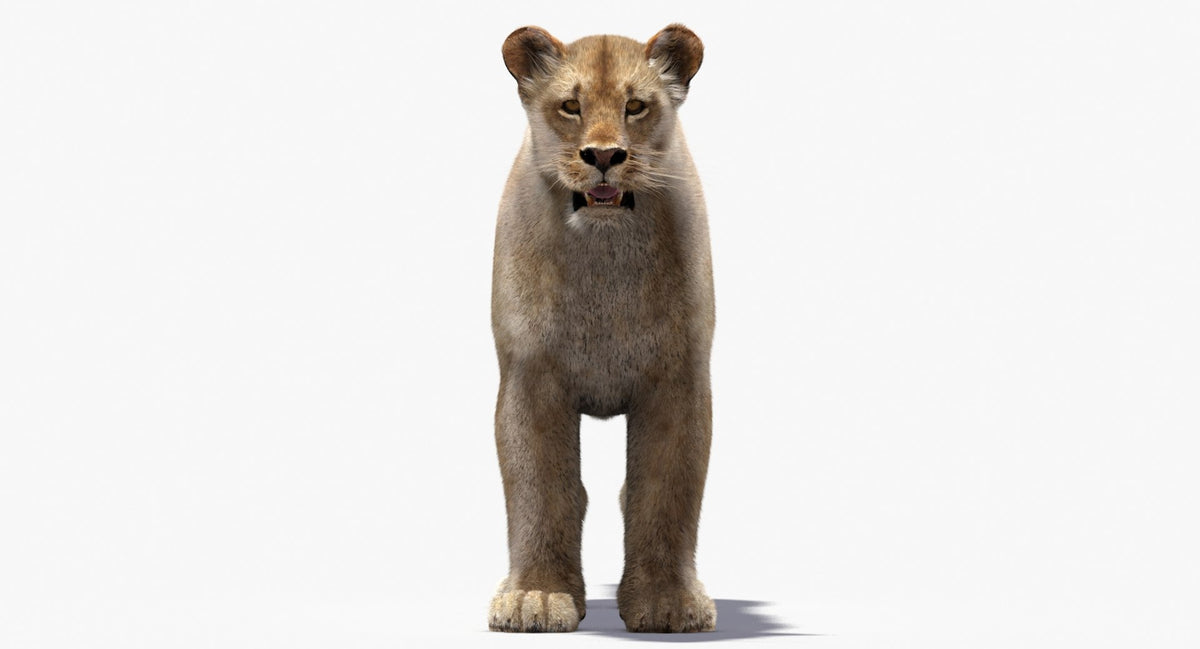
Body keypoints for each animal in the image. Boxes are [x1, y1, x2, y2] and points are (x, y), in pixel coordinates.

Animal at [488, 24, 716, 633]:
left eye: (636, 106)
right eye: (571, 105)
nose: (606, 156)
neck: (604, 258)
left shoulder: (678, 380)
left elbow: (666, 492)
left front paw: (666, 602)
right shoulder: (530, 378)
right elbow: (541, 489)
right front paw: (538, 598)